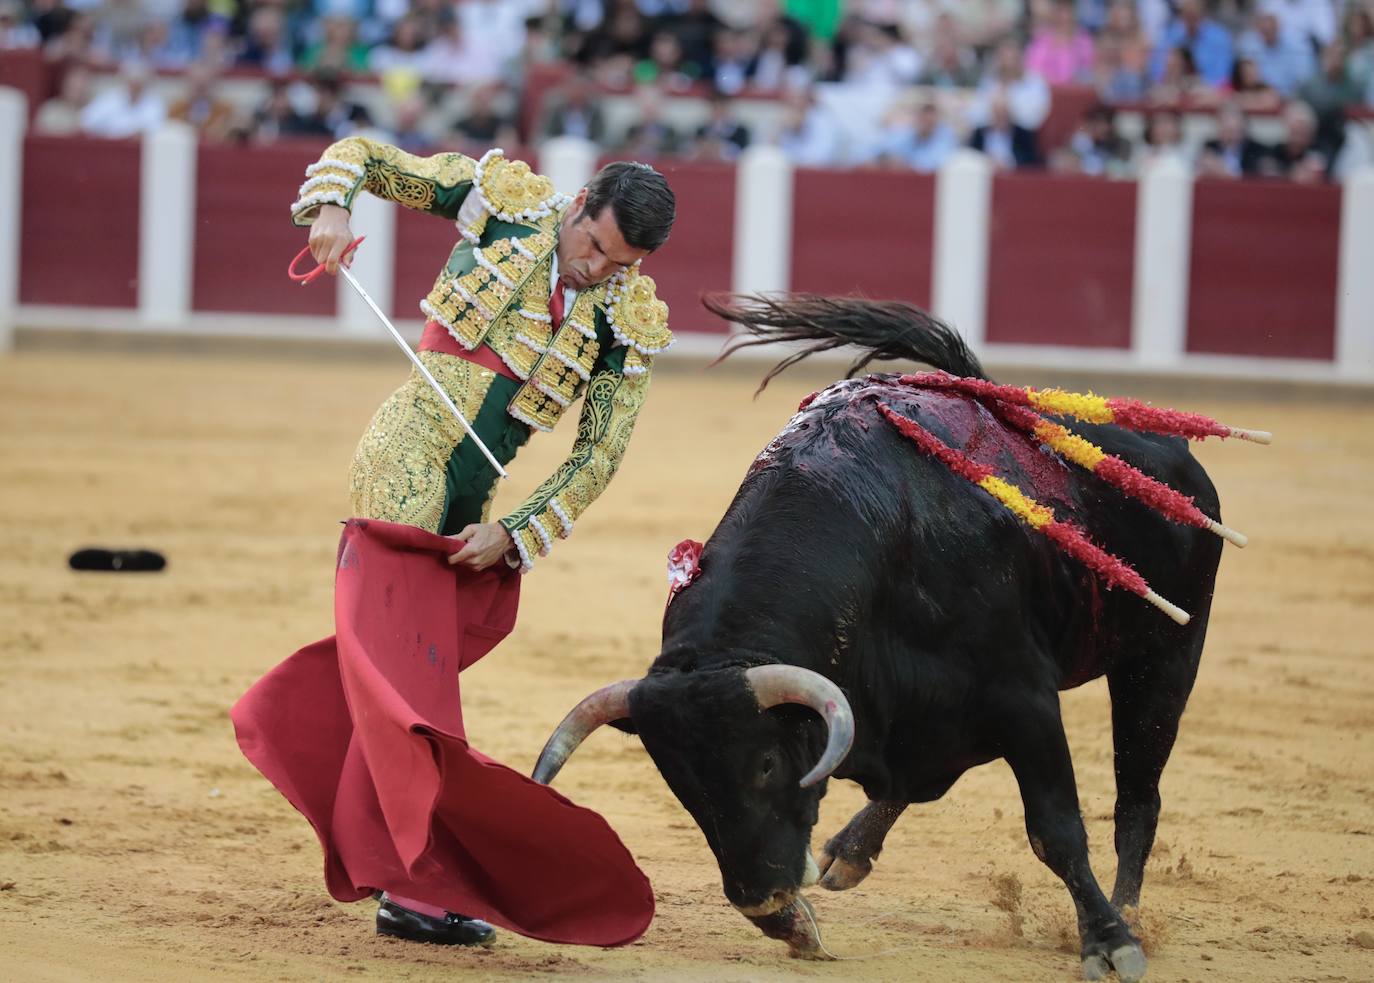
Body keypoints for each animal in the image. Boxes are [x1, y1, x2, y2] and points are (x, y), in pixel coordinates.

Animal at [530, 295, 1231, 978]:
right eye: (678, 780)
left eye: (764, 763)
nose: (762, 900)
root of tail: (1182, 466)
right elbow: (916, 783)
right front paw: (799, 923)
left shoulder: (1023, 698)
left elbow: (1054, 828)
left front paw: (1108, 942)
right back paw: (851, 851)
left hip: (1166, 658)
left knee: (1138, 796)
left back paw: (1129, 915)